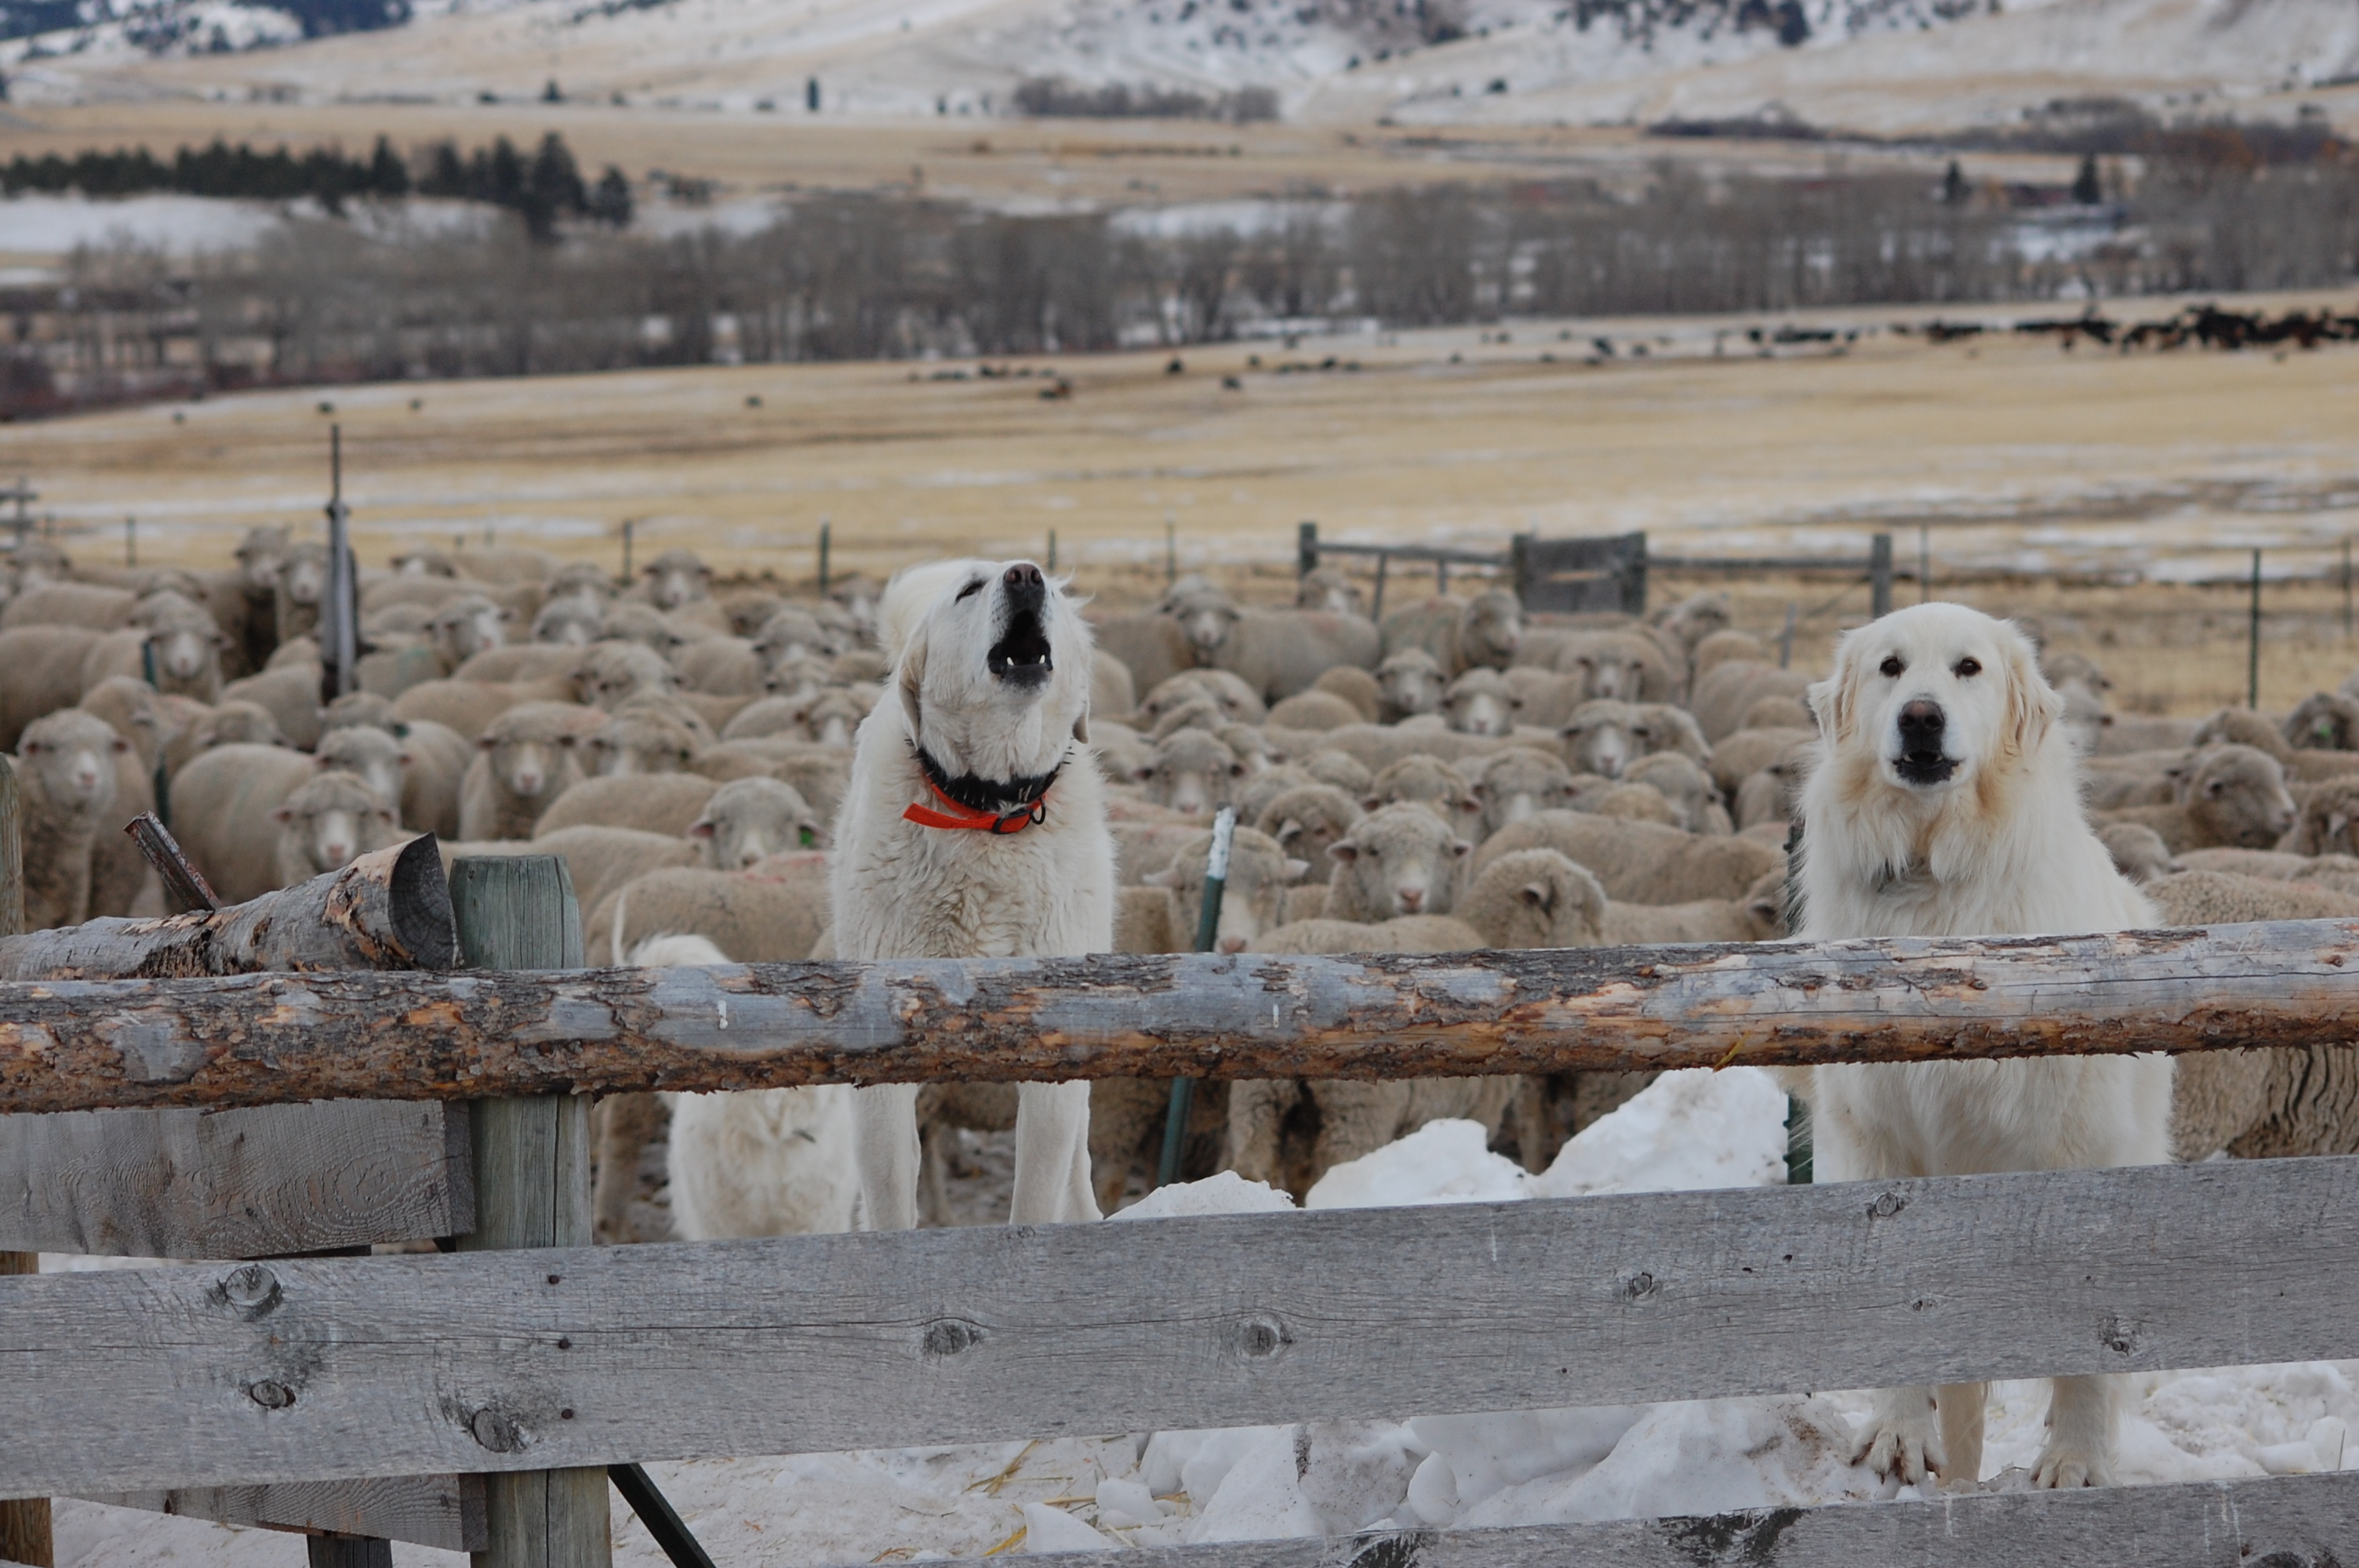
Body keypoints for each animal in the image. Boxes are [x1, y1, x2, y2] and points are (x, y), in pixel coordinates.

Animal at [830, 556, 1113, 1225]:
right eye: (969, 591)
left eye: (1050, 588)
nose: (1025, 575)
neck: (990, 812)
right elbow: (889, 1190)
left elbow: (1037, 1188)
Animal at [1802, 598, 2170, 1490]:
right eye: (1891, 667)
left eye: (1967, 667)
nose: (1920, 717)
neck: (1936, 889)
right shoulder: (1881, 1142)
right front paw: (1899, 1436)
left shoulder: (2075, 1149)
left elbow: (2086, 1334)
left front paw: (2075, 1460)